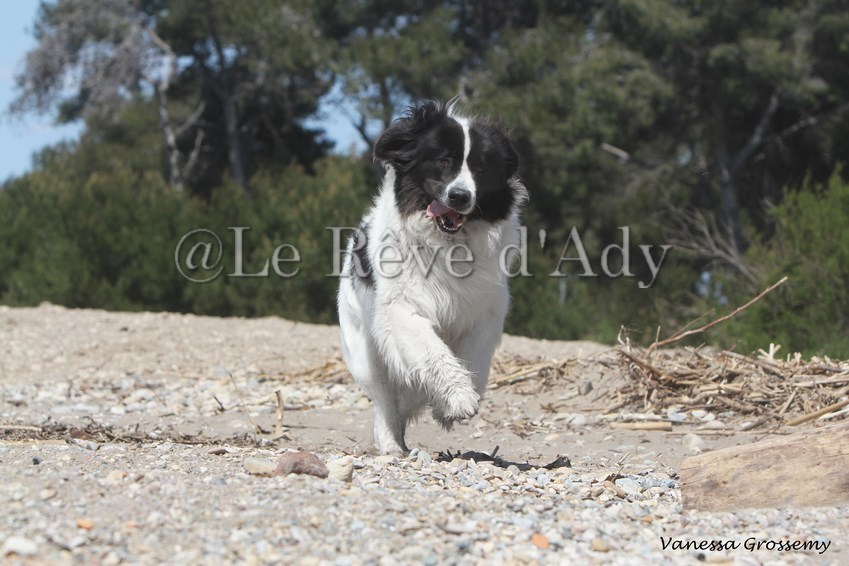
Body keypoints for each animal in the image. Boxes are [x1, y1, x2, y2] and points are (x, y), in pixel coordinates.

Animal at [337, 99, 527, 454]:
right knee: (384, 398)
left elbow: (474, 362)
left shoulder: (486, 312)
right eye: (444, 161)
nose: (460, 196)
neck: (449, 244)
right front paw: (459, 398)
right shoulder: (401, 309)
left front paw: (449, 406)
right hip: (365, 352)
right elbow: (432, 351)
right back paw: (391, 444)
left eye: (481, 169)